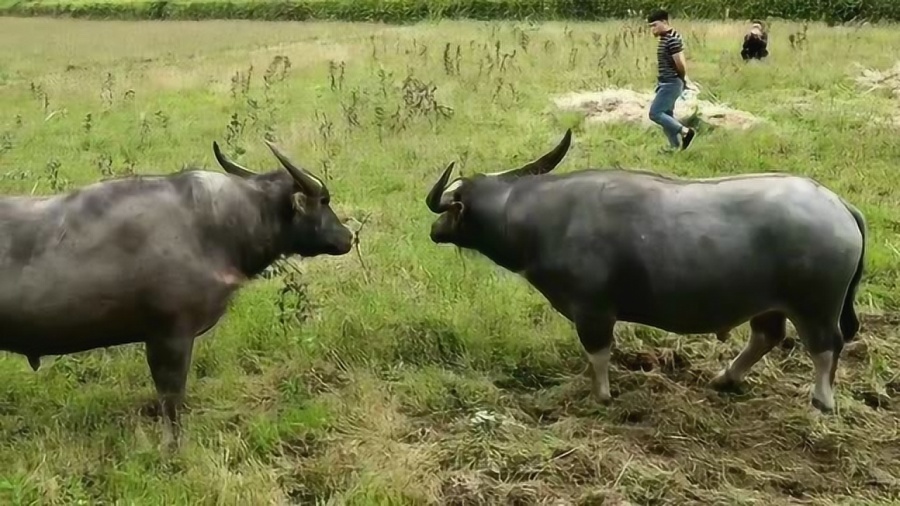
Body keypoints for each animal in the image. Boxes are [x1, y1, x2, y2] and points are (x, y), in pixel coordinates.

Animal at [426, 128, 868, 414]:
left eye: (454, 206)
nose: (434, 230)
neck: (541, 219)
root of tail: (840, 206)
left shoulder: (592, 310)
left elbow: (598, 352)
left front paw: (601, 396)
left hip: (816, 306)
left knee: (826, 346)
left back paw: (821, 400)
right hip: (769, 303)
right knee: (767, 335)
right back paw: (725, 378)